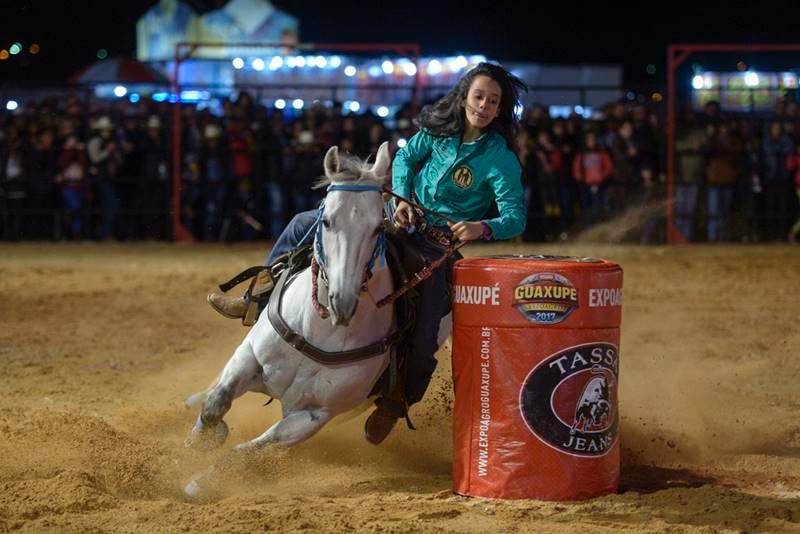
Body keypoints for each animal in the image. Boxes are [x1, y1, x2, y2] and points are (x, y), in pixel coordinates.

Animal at [184, 141, 438, 498]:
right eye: (327, 220)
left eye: (377, 228)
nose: (342, 302)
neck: (320, 330)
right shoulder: (249, 357)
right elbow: (215, 404)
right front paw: (200, 440)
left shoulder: (313, 416)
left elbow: (250, 450)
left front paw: (200, 482)